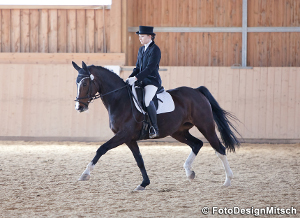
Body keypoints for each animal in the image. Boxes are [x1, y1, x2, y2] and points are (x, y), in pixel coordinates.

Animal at [73, 61, 241, 191]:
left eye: (85, 83)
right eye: (77, 83)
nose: (79, 107)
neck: (120, 100)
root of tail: (196, 91)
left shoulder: (123, 135)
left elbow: (102, 149)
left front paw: (85, 174)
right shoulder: (129, 139)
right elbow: (139, 160)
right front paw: (144, 183)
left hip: (206, 126)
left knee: (219, 149)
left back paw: (227, 180)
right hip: (178, 131)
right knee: (197, 144)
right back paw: (189, 172)